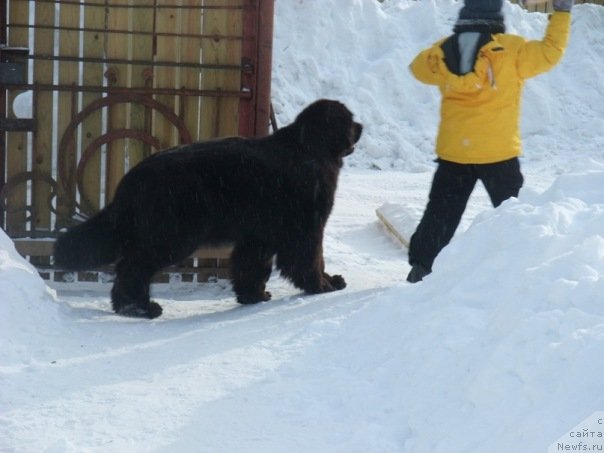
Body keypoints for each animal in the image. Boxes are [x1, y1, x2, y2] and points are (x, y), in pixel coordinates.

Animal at [53, 99, 364, 318]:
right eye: (350, 119)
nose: (361, 127)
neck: (309, 149)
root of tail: (131, 181)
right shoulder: (306, 228)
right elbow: (311, 260)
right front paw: (325, 285)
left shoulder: (258, 234)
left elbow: (251, 265)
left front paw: (253, 296)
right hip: (173, 236)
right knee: (132, 267)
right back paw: (140, 309)